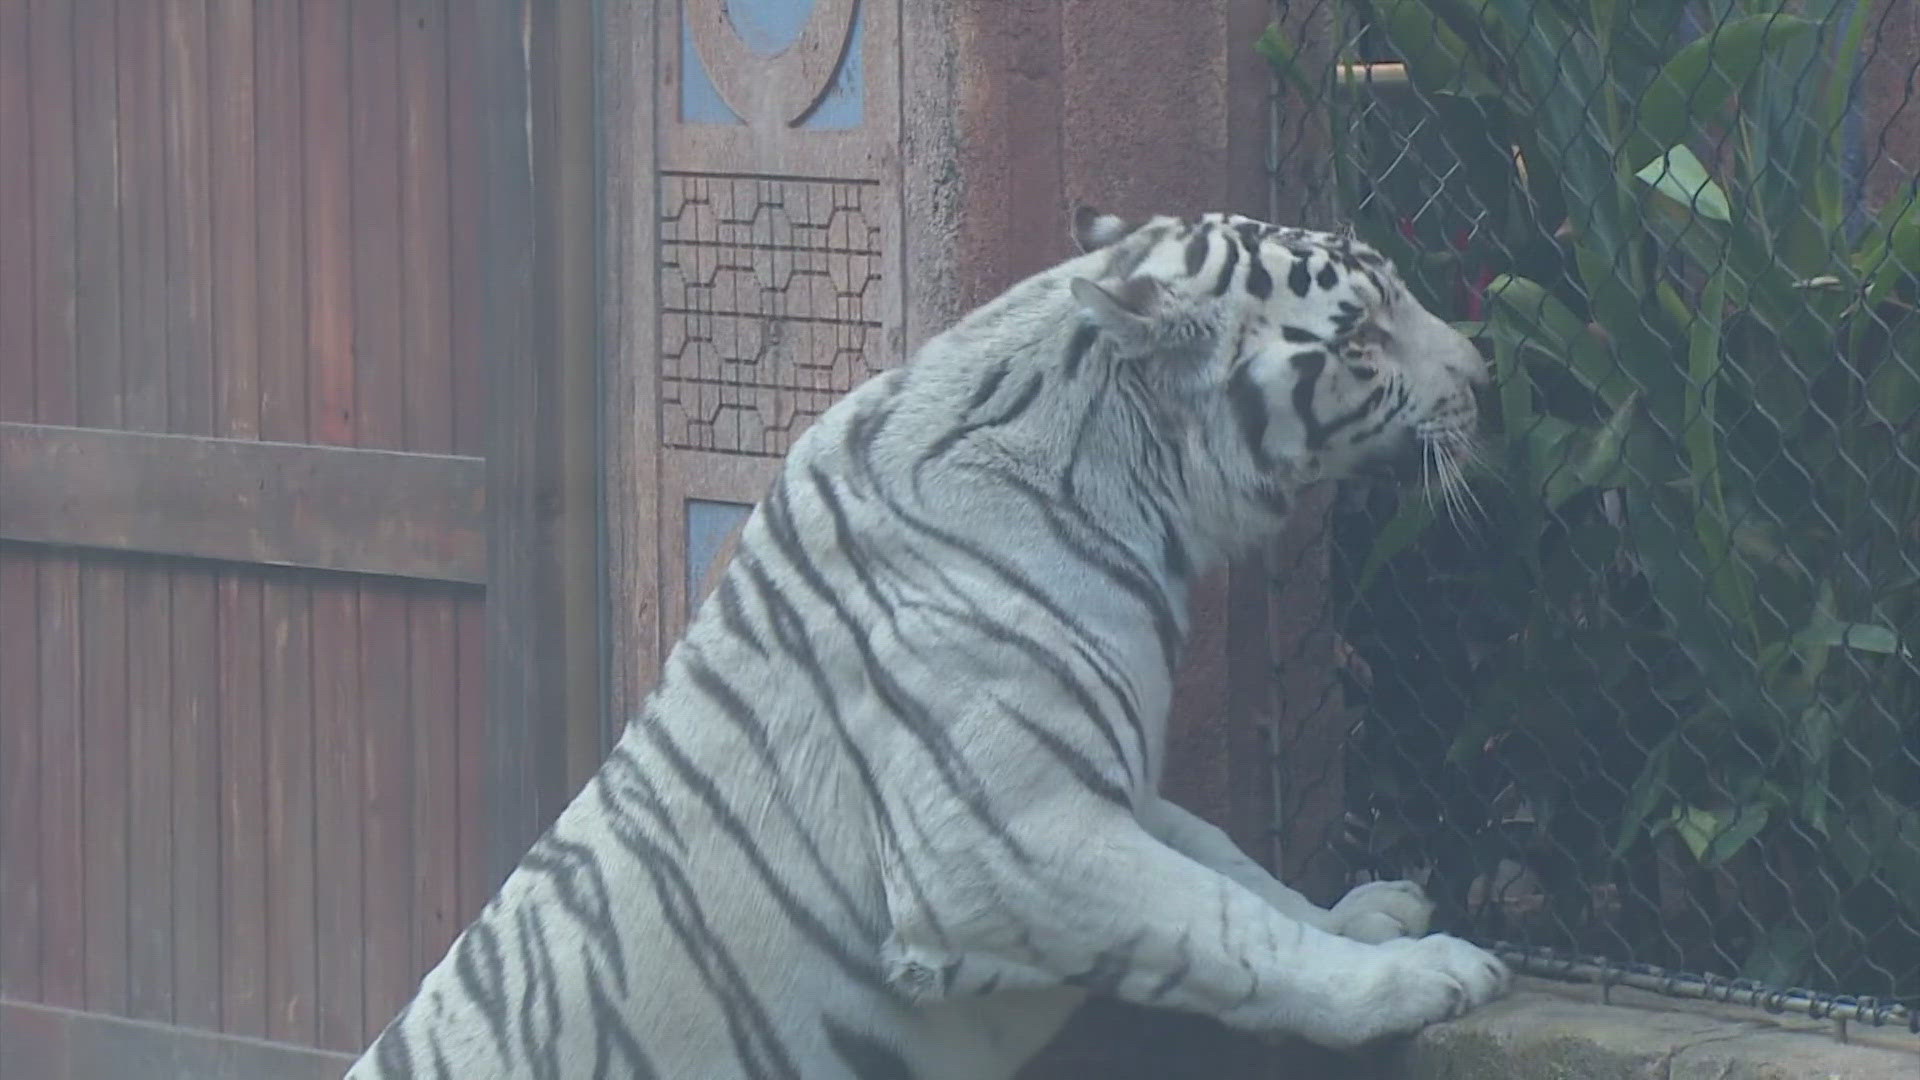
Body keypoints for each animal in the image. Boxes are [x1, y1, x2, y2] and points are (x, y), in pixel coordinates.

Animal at [353, 205, 1505, 1068]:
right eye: (1360, 340)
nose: (1486, 373)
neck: (1140, 489)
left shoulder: (1101, 784)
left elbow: (1236, 868)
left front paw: (1364, 913)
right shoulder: (1005, 839)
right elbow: (1231, 931)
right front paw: (1422, 975)